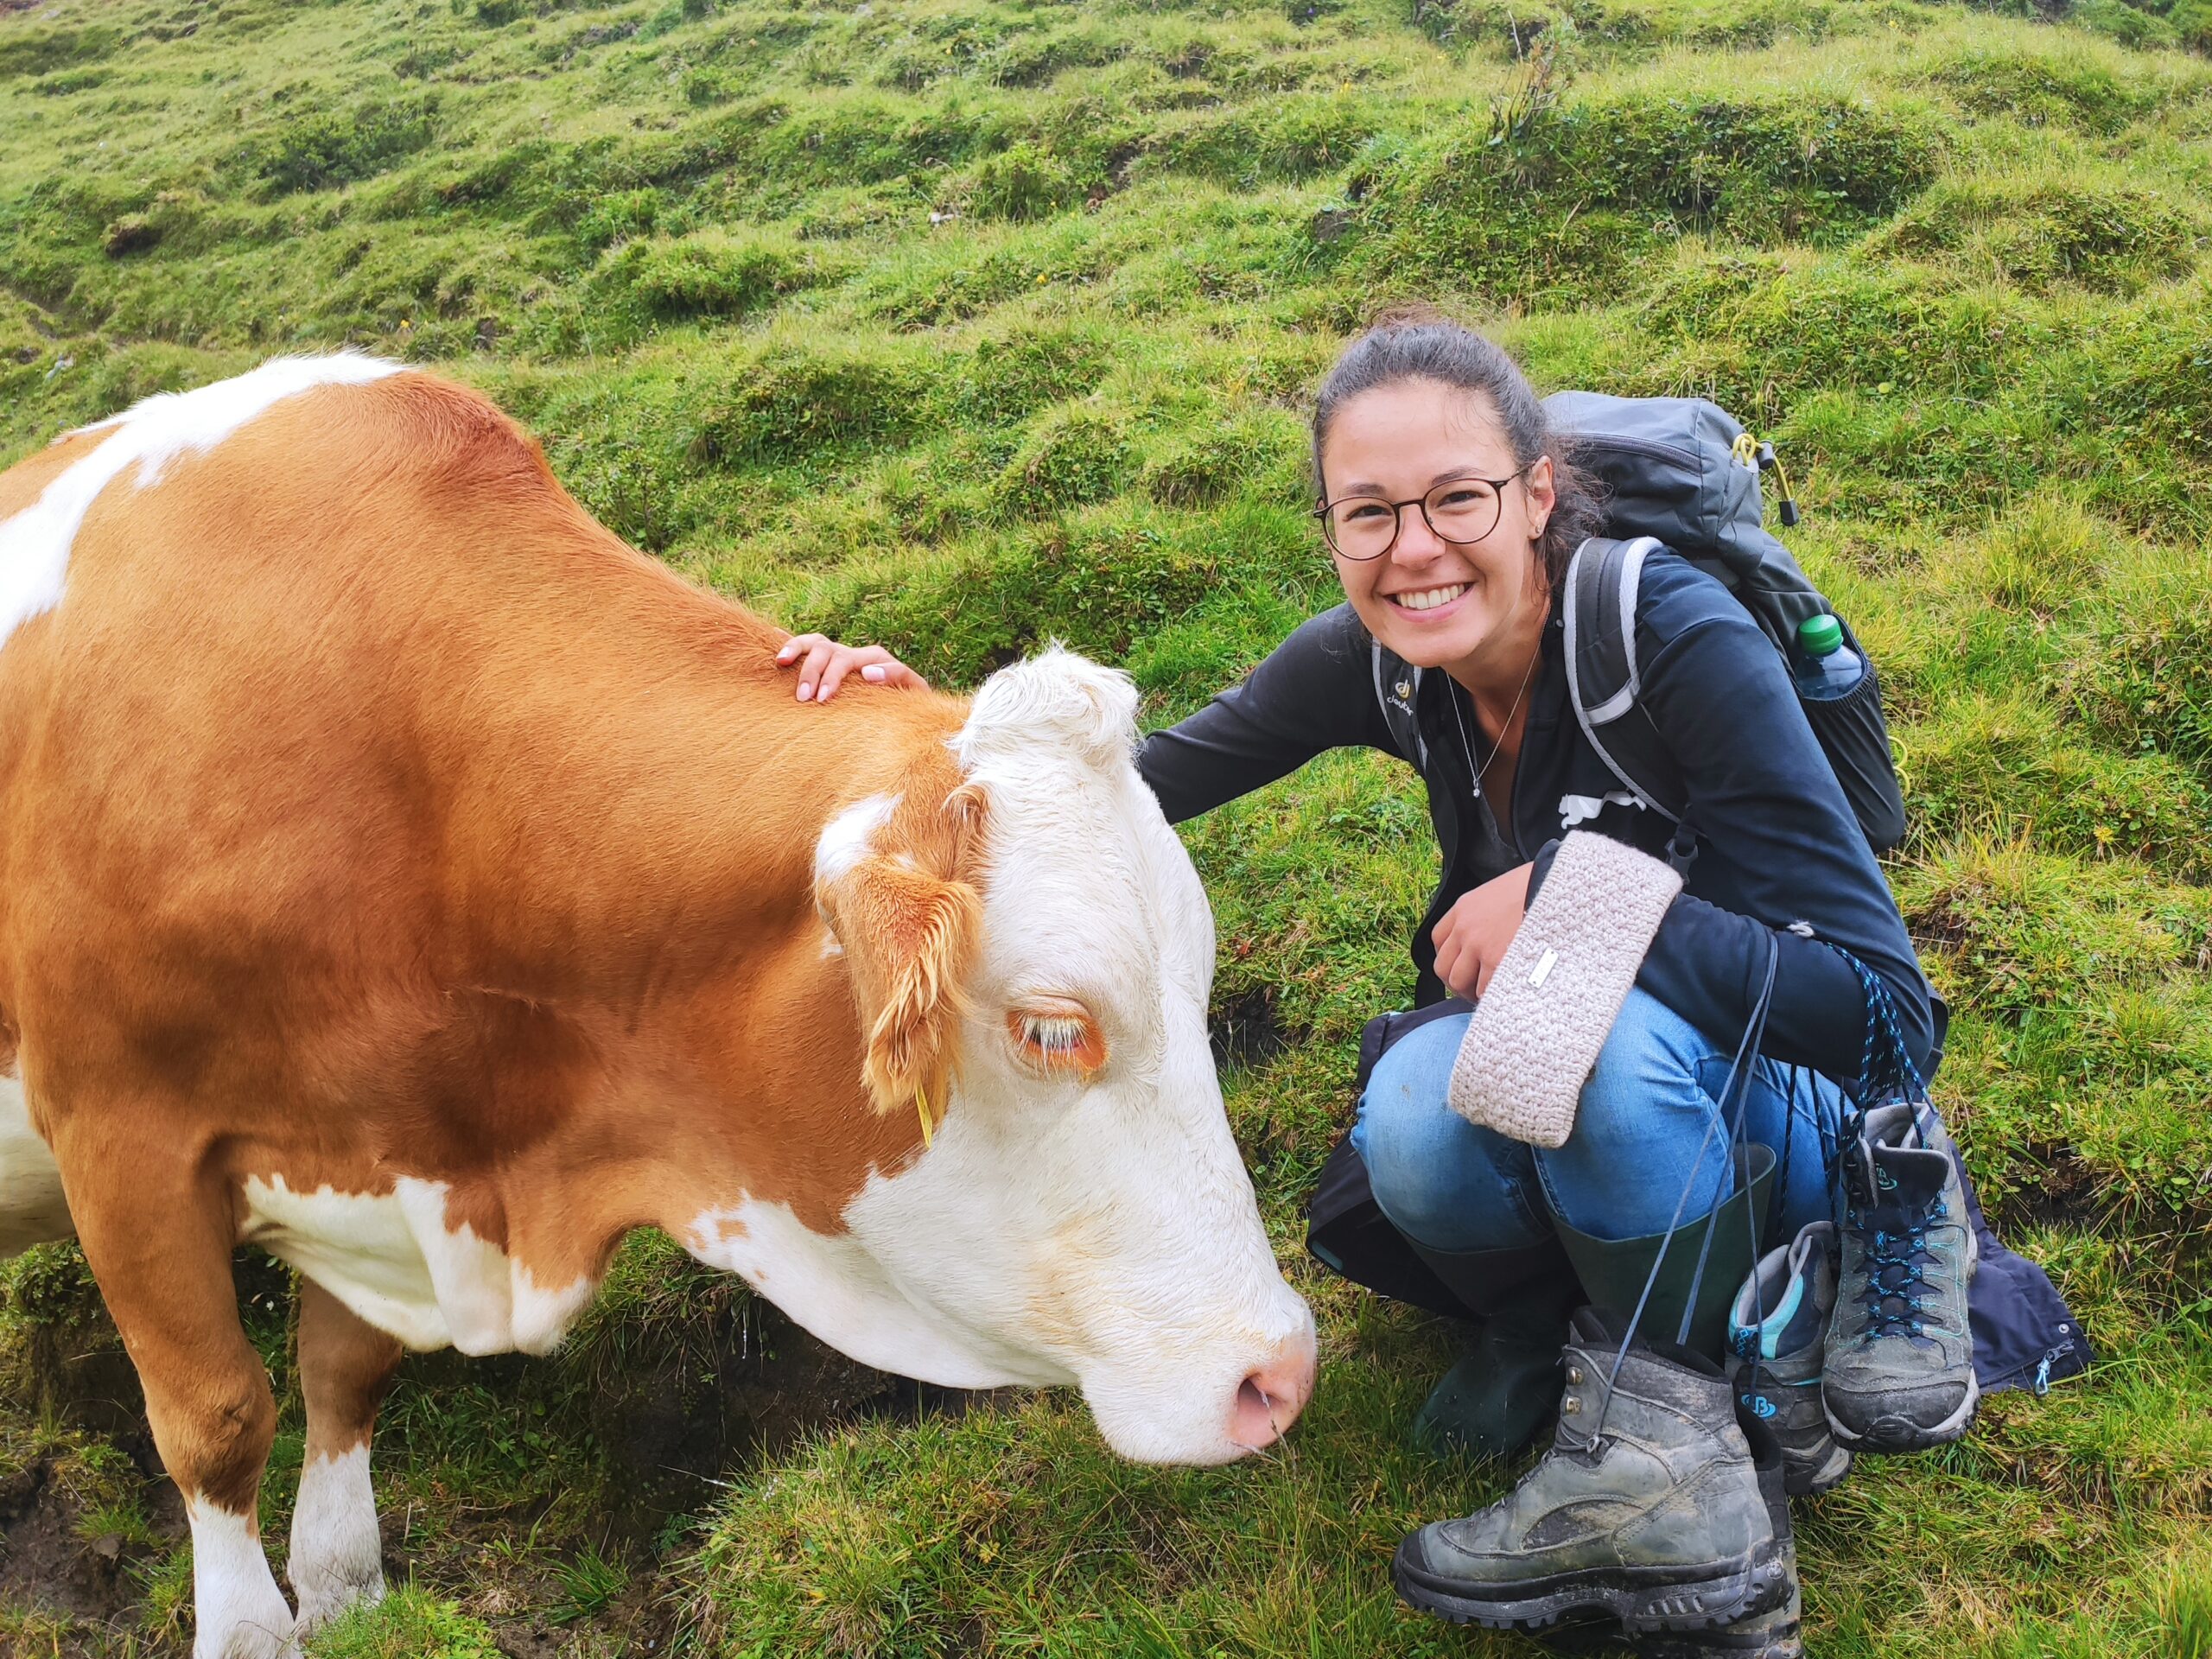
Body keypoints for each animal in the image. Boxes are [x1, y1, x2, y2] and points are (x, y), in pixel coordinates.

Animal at [0, 360, 1309, 1659]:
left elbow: (345, 1372)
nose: (1280, 1371)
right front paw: (254, 1627)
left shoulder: (378, 1156)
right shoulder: (123, 1137)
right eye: (1050, 1027)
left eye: (1196, 981)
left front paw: (344, 1590)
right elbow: (217, 1416)